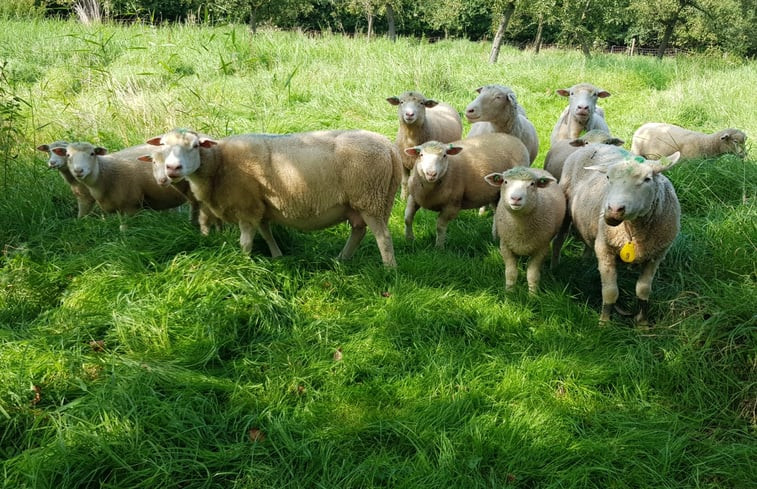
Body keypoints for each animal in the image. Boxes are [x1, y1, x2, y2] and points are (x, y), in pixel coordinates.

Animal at [143, 127, 402, 264]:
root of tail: (388, 146)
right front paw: (277, 257)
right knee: (358, 230)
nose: (172, 168)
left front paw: (244, 265)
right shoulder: (259, 207)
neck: (218, 165)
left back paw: (389, 269)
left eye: (196, 146)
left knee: (383, 238)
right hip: (365, 202)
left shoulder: (245, 208)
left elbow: (246, 242)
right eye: (163, 145)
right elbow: (266, 234)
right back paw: (342, 259)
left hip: (372, 199)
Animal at [402, 132, 532, 248]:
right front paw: (409, 240)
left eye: (444, 155)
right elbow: (407, 219)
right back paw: (495, 237)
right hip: (495, 194)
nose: (431, 173)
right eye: (421, 155)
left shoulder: (452, 206)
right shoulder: (414, 197)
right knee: (497, 212)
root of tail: (512, 138)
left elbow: (440, 227)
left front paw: (439, 247)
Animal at [552, 146, 684, 328]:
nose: (613, 210)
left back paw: (584, 262)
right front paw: (604, 323)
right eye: (608, 177)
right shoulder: (605, 250)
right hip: (565, 208)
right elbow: (610, 292)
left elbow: (643, 290)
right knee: (559, 239)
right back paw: (554, 267)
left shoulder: (656, 255)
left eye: (647, 179)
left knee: (588, 243)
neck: (634, 233)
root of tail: (591, 145)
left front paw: (643, 324)